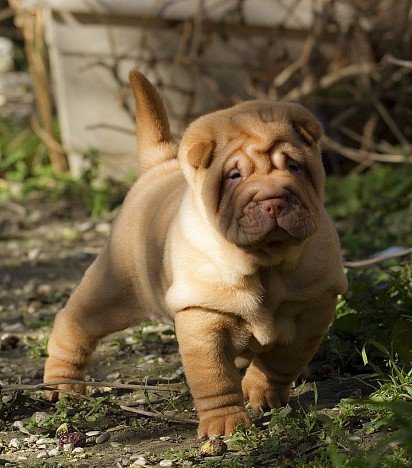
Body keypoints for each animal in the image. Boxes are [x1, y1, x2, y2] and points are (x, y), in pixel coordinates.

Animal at [43, 70, 346, 438]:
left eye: (294, 167)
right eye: (234, 176)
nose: (273, 199)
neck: (265, 264)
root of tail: (160, 166)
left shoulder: (312, 309)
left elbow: (281, 360)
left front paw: (262, 390)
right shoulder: (202, 318)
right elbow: (214, 378)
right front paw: (225, 423)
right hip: (112, 290)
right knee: (73, 323)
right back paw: (62, 383)